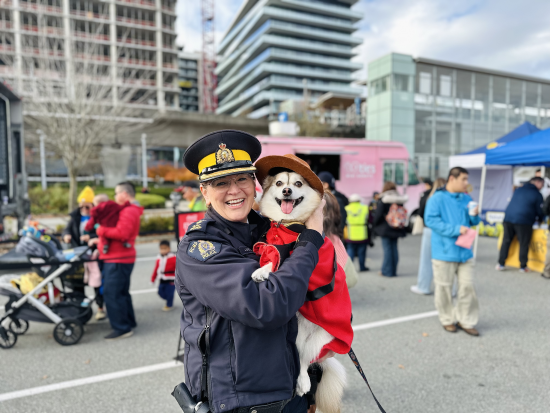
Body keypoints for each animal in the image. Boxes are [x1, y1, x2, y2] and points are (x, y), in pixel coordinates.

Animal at [251, 169, 354, 410]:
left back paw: (304, 382)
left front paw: (263, 271)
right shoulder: (271, 245)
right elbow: (270, 257)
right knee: (298, 356)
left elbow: (278, 263)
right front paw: (261, 268)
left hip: (320, 339)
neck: (287, 224)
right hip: (296, 336)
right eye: (279, 183)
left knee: (305, 360)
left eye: (298, 183)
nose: (287, 191)